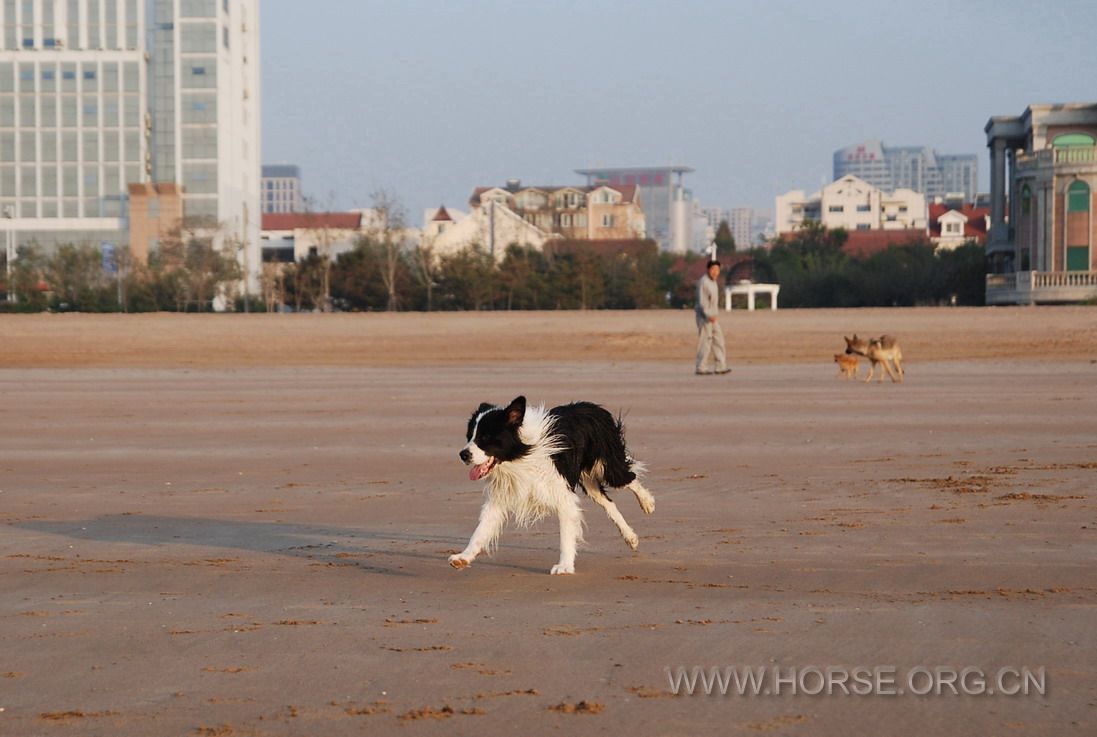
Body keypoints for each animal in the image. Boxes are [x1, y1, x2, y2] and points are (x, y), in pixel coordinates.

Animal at [451, 397, 653, 574]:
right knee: (608, 502)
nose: (463, 454)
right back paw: (630, 538)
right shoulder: (501, 497)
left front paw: (564, 566)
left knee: (630, 478)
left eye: (485, 438)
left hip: (608, 464)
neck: (521, 456)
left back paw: (647, 503)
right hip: (589, 482)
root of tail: (594, 407)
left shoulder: (562, 494)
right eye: (469, 437)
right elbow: (481, 529)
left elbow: (566, 533)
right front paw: (462, 557)